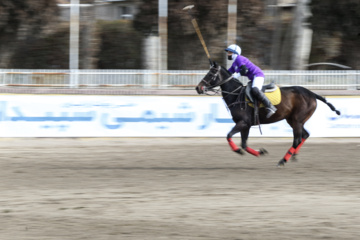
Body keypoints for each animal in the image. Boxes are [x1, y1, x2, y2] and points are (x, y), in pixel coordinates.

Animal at [195, 62, 342, 166]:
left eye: (210, 74)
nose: (198, 88)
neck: (236, 95)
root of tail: (312, 93)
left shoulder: (243, 122)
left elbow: (229, 136)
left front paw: (237, 150)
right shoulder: (246, 125)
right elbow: (244, 144)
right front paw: (260, 152)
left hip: (297, 120)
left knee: (297, 140)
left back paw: (283, 160)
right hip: (293, 120)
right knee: (304, 135)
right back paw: (293, 156)